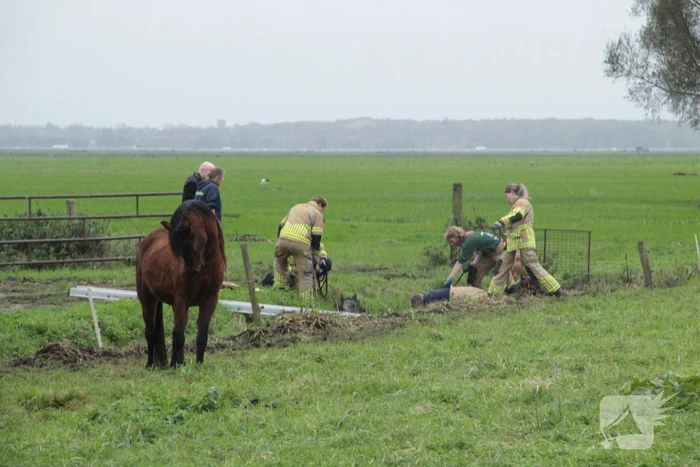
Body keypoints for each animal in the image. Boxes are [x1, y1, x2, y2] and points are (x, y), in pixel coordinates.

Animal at [136, 200, 226, 368]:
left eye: (191, 242)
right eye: (175, 249)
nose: (191, 270)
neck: (206, 265)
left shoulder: (210, 300)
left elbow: (201, 335)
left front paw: (198, 363)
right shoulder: (181, 299)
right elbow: (178, 335)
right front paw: (173, 365)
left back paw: (180, 362)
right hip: (148, 300)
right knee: (150, 333)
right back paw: (150, 364)